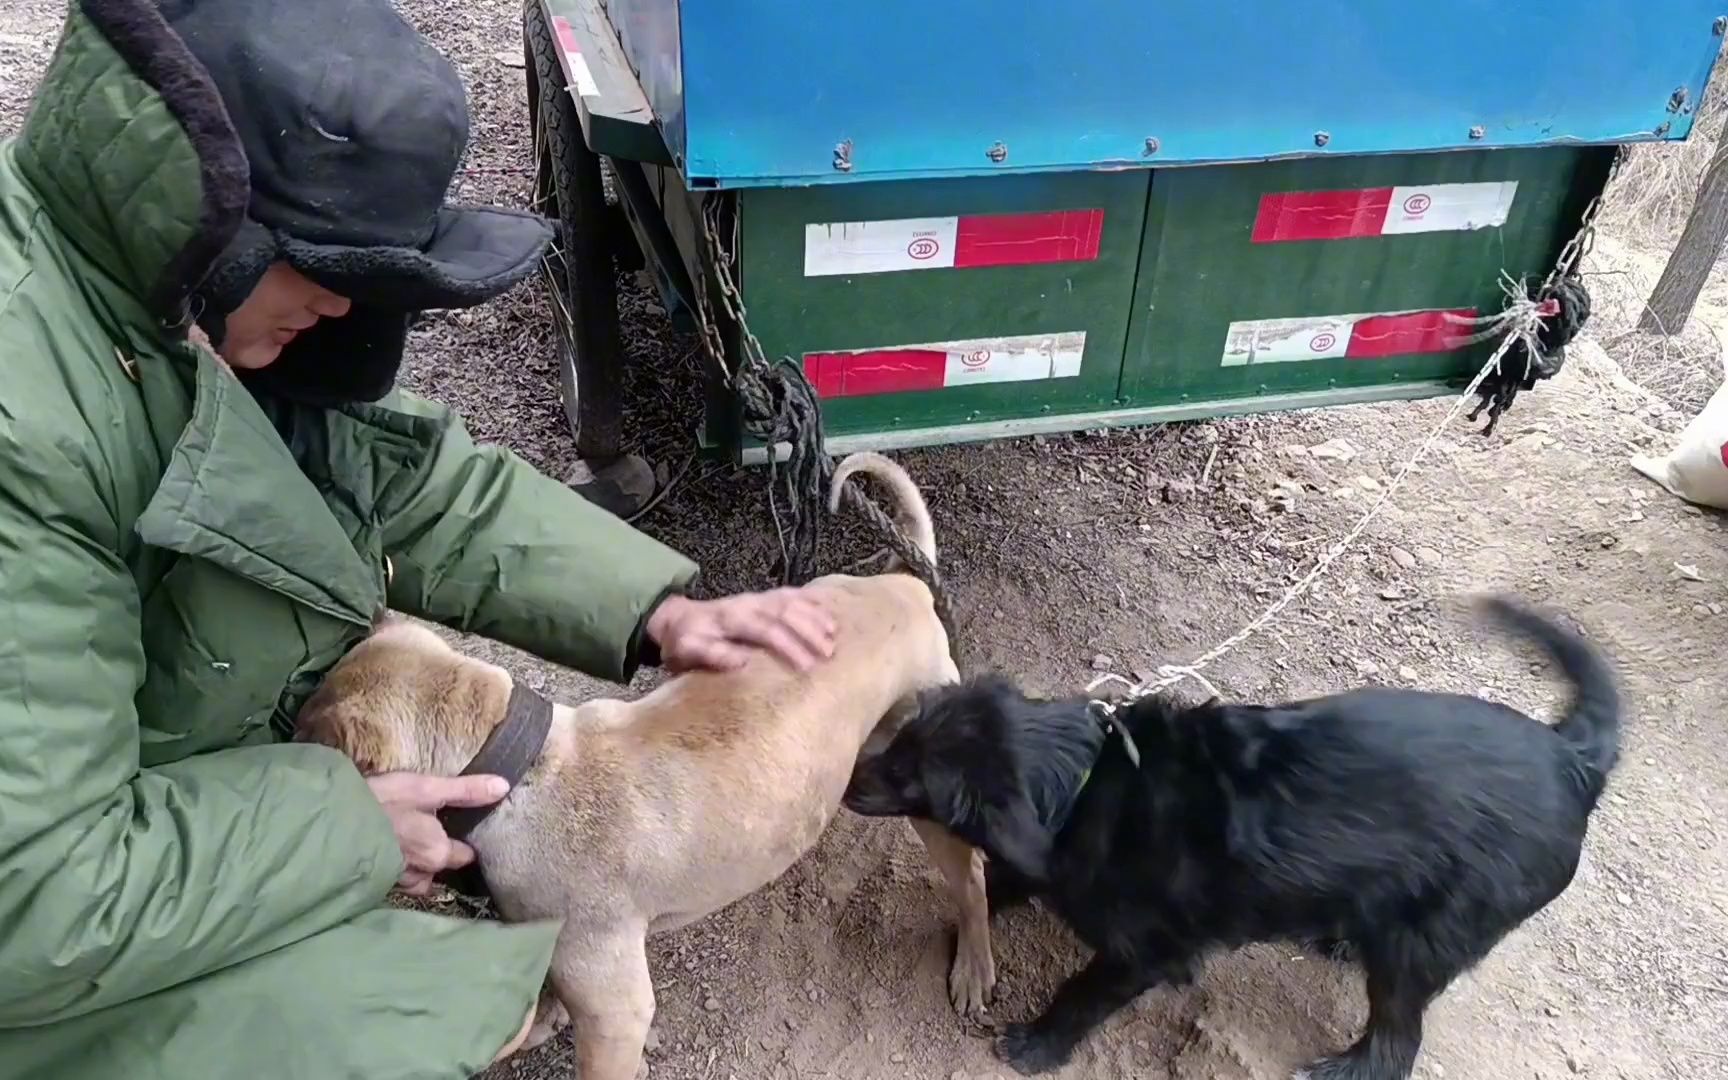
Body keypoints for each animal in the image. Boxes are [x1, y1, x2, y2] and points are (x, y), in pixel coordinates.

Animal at [297, 449, 995, 1078]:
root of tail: (907, 586)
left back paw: (974, 966)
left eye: (306, 730)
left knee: (971, 879)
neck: (519, 767)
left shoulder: (615, 1010)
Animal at [843, 597, 1624, 1078]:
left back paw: (1344, 1067)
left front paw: (1036, 1044)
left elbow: (1081, 993)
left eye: (908, 775)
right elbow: (1006, 878)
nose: (845, 781)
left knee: (1398, 1040)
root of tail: (1572, 759)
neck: (1084, 780)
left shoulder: (1146, 951)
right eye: (900, 738)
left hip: (1424, 942)